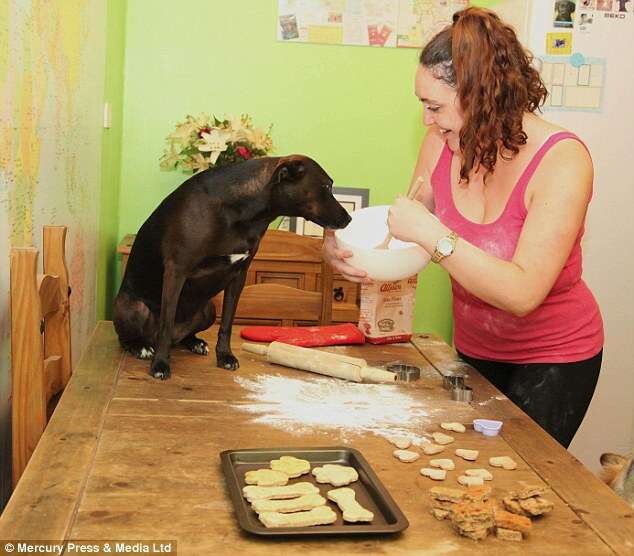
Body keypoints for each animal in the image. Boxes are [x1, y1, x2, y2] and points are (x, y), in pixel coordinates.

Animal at [113, 154, 350, 380]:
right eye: (326, 187)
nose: (349, 218)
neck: (241, 210)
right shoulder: (176, 271)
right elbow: (166, 323)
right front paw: (161, 364)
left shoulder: (238, 275)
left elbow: (227, 324)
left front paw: (225, 356)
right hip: (131, 306)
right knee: (131, 337)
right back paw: (140, 347)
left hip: (208, 309)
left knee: (183, 335)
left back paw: (194, 342)